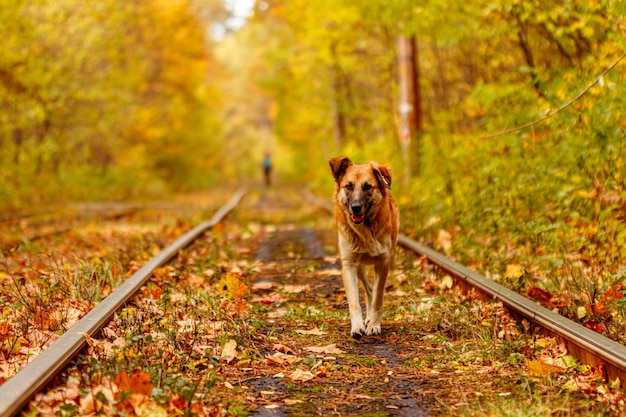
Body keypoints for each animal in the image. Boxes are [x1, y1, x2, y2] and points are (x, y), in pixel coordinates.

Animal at [330, 156, 398, 338]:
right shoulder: (349, 265)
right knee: (368, 289)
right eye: (349, 186)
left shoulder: (383, 263)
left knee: (373, 291)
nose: (355, 208)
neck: (365, 231)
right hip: (359, 268)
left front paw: (374, 324)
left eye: (367, 186)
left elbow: (378, 298)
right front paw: (357, 326)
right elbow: (354, 301)